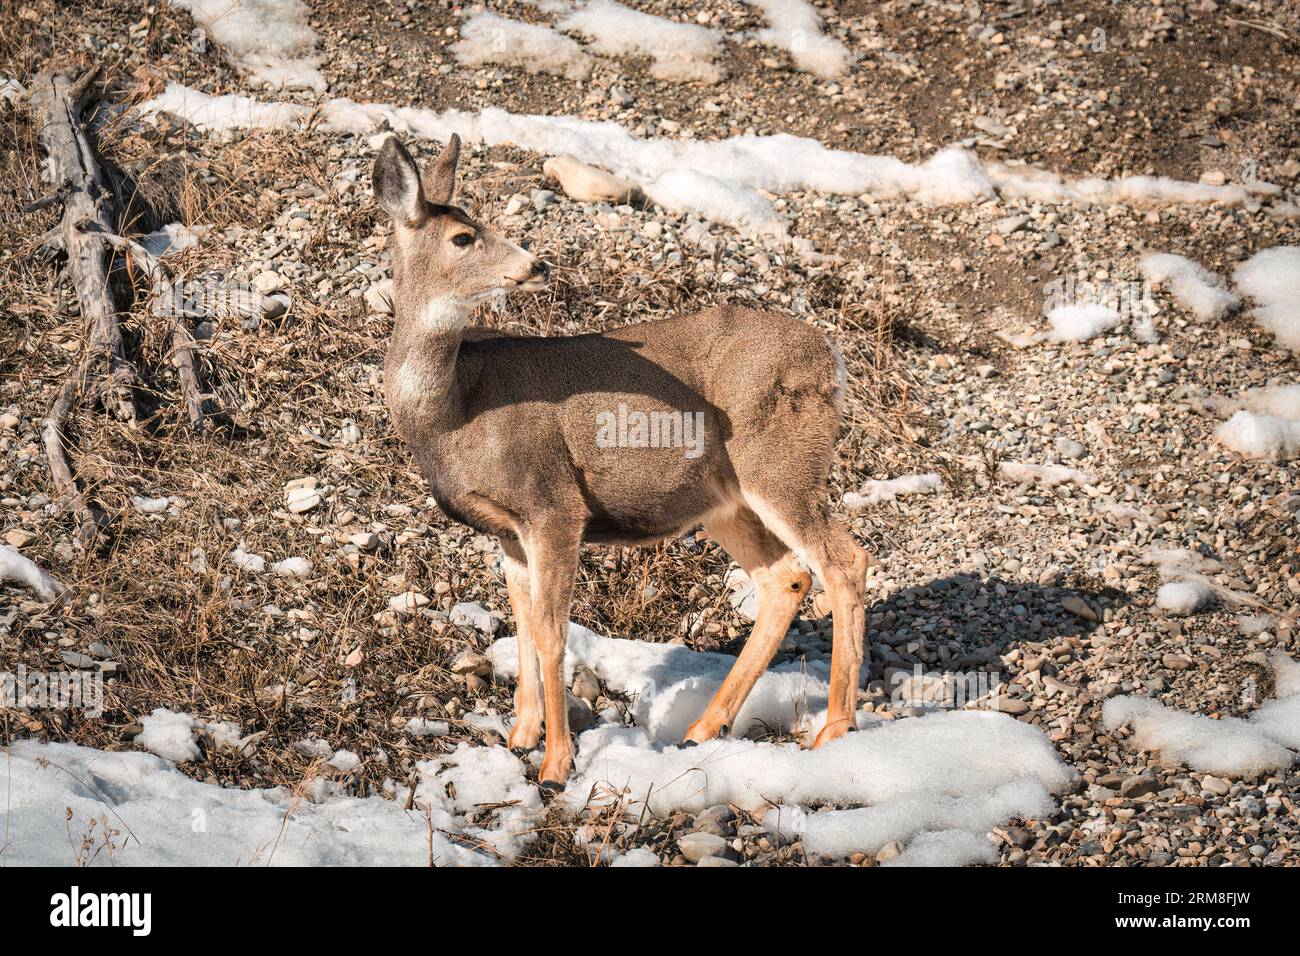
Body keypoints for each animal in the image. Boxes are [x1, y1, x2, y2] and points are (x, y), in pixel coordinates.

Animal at [372, 133, 869, 789]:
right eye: (462, 236)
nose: (536, 264)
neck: (453, 412)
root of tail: (832, 356)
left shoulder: (553, 505)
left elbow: (552, 632)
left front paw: (555, 765)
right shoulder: (507, 530)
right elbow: (523, 623)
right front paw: (519, 736)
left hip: (780, 462)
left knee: (845, 560)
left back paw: (833, 729)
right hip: (725, 500)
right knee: (787, 578)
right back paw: (702, 729)